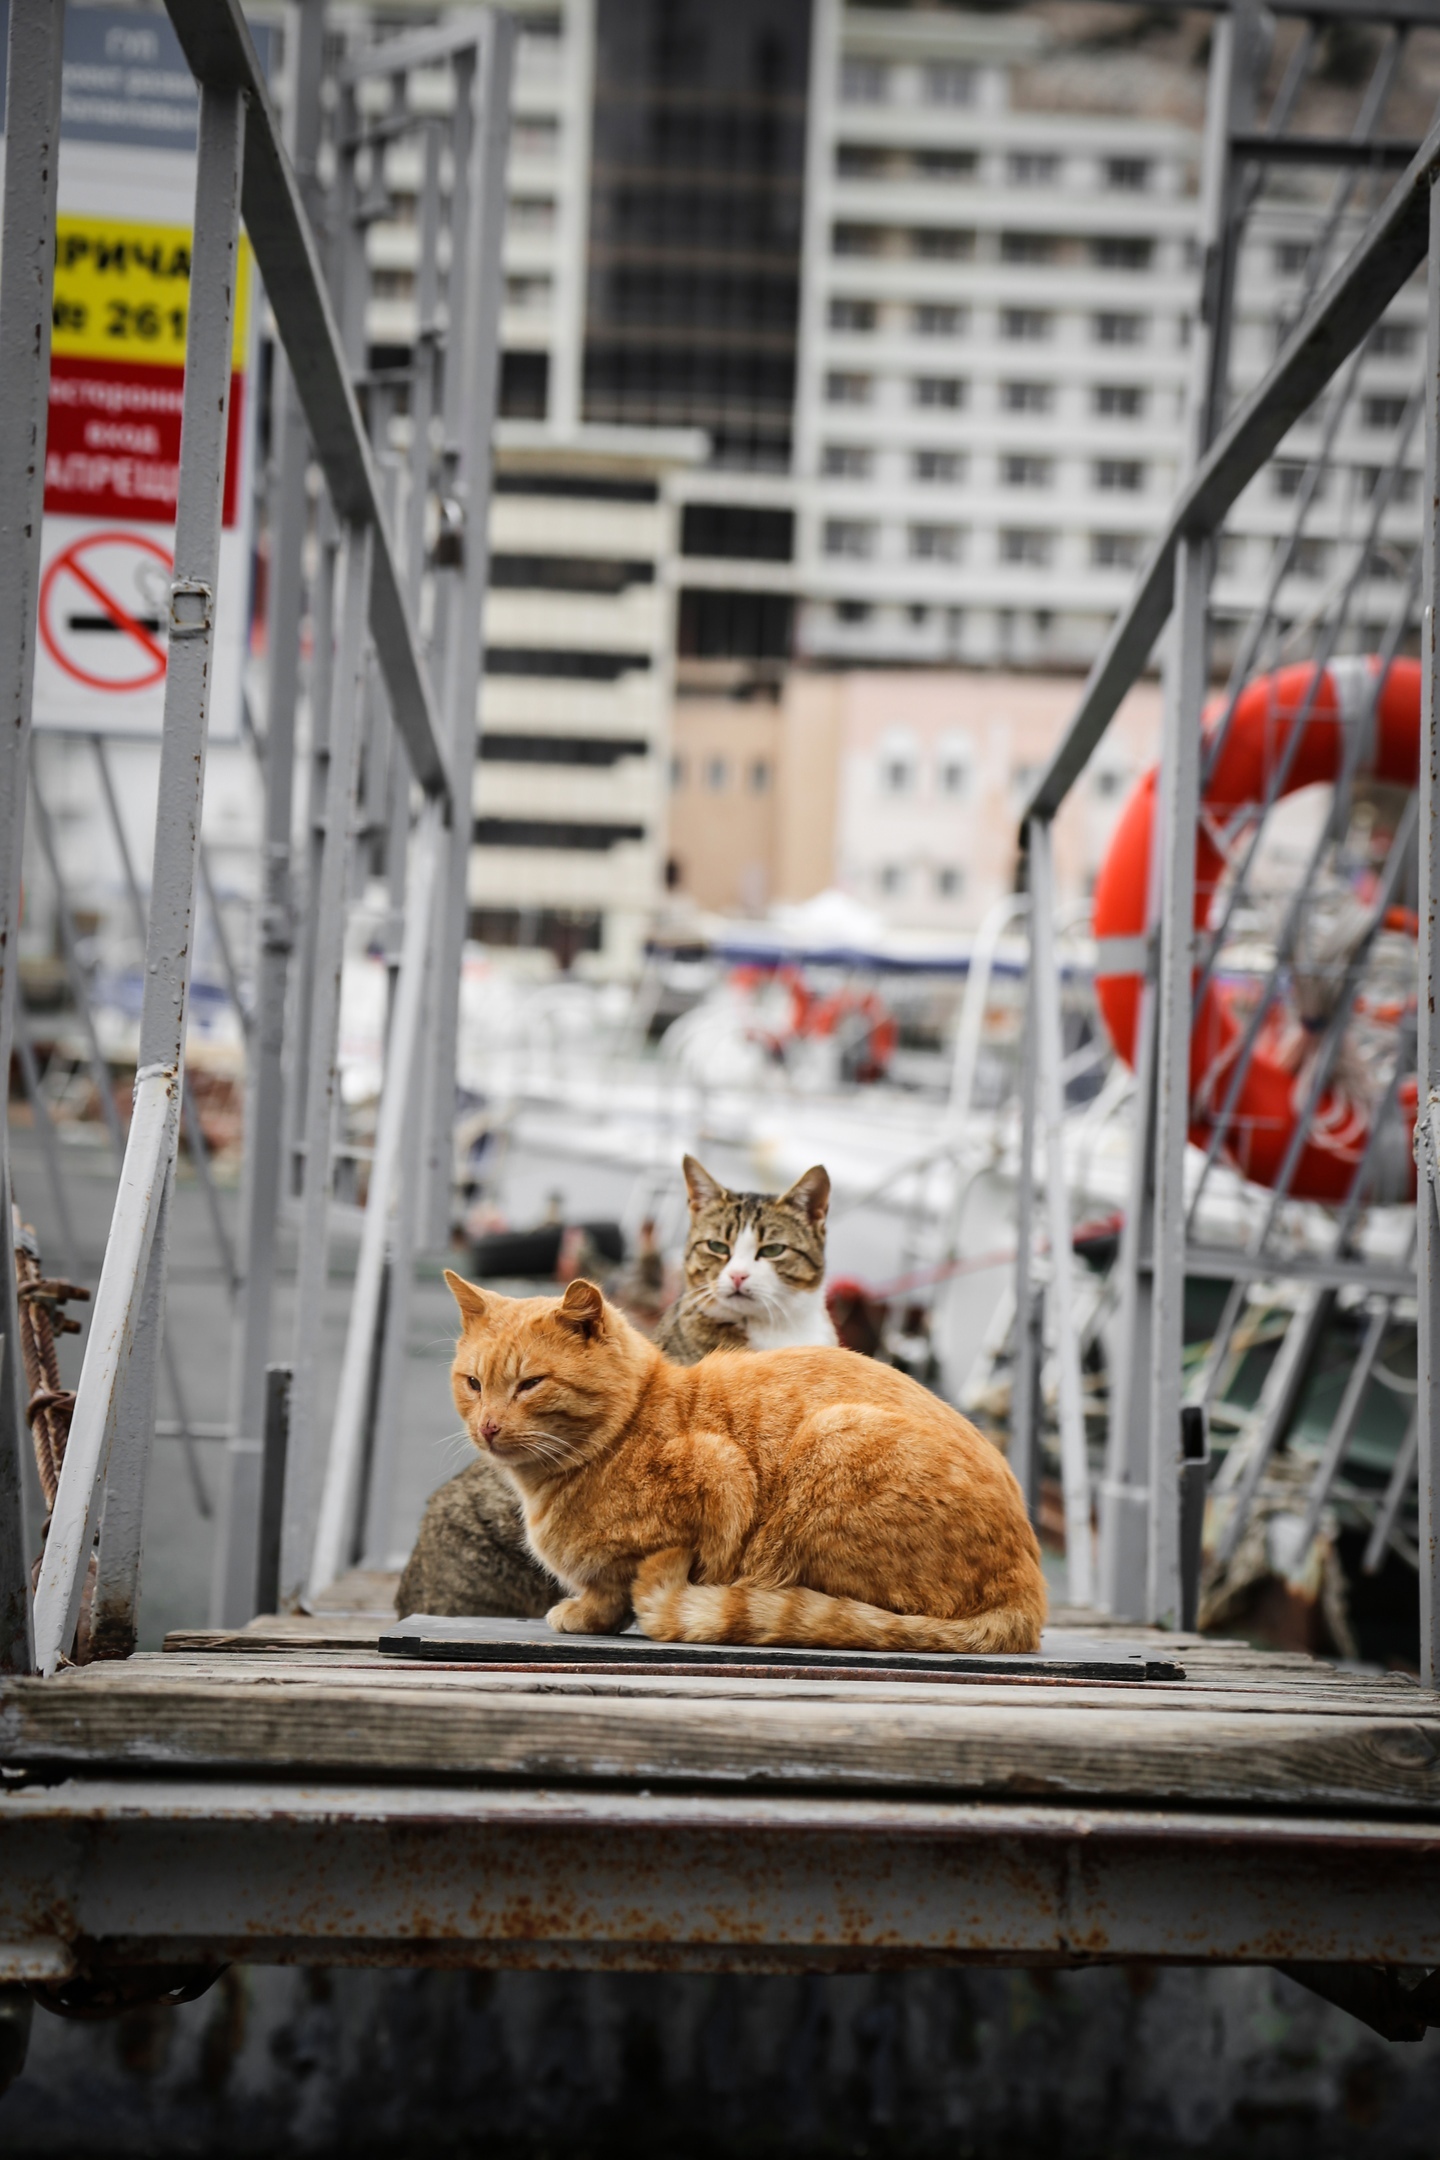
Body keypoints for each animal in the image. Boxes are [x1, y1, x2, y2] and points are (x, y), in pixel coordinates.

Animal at [440, 1261, 1049, 1650]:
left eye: (530, 1384)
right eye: (473, 1383)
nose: (488, 1426)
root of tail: (1029, 1590)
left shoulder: (720, 1475)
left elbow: (617, 1587)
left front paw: (586, 1614)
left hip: (832, 1443)